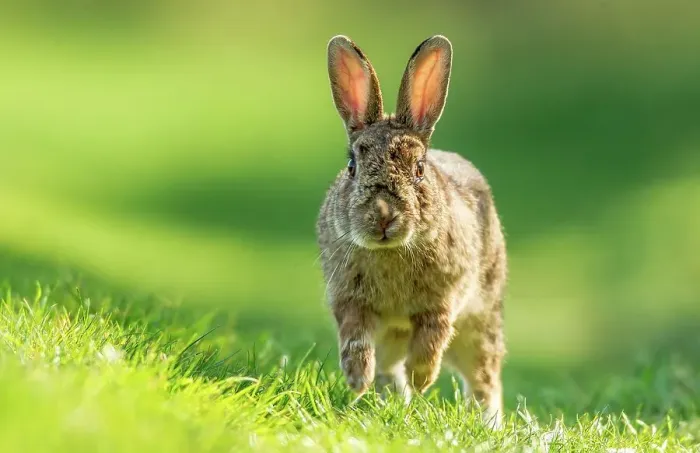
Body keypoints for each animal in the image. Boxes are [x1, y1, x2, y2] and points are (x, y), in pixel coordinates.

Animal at [316, 34, 507, 427]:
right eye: (352, 165)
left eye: (419, 168)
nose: (383, 216)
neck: (390, 251)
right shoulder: (349, 301)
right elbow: (355, 340)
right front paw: (357, 380)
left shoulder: (442, 303)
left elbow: (431, 339)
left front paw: (422, 378)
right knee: (389, 367)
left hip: (479, 326)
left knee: (484, 379)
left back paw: (488, 422)